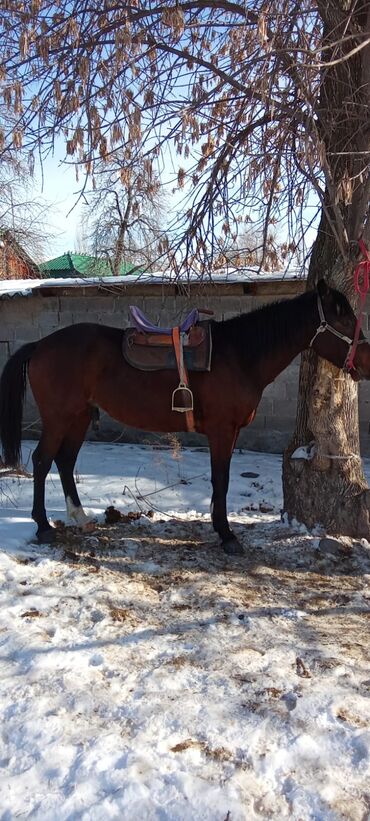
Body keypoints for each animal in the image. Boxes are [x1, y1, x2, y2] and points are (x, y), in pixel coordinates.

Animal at [0, 278, 370, 556]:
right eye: (344, 320)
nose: (365, 363)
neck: (240, 355)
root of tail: (41, 345)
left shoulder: (231, 432)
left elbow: (220, 479)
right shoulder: (222, 431)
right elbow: (221, 479)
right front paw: (227, 535)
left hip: (78, 417)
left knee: (64, 461)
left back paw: (79, 517)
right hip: (59, 418)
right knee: (42, 460)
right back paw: (44, 527)